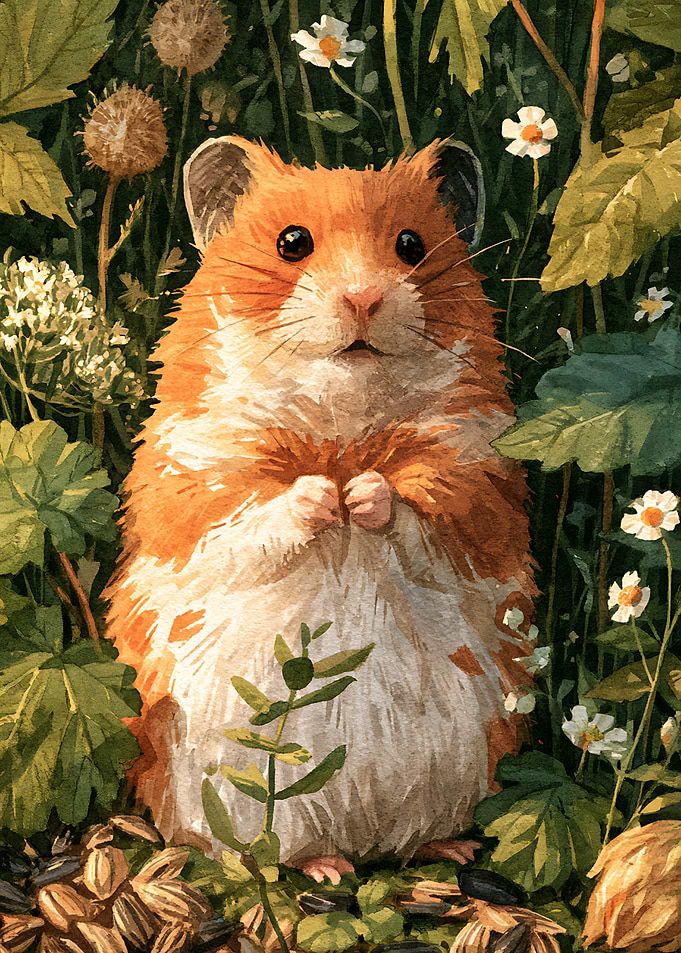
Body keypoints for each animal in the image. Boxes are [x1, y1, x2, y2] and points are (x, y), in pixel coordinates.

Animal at [105, 135, 535, 877]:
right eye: (292, 242)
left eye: (412, 245)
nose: (363, 297)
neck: (341, 433)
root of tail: (365, 838)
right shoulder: (195, 483)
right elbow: (250, 523)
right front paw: (321, 496)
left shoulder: (479, 483)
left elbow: (422, 517)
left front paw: (359, 494)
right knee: (275, 849)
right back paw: (324, 866)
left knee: (410, 837)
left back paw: (442, 848)